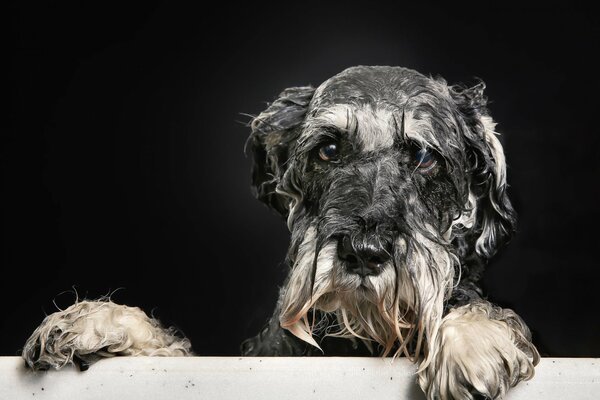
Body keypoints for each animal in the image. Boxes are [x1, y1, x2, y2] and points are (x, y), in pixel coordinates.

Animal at [22, 66, 540, 400]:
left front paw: (474, 341)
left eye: (423, 157)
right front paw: (94, 322)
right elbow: (172, 346)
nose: (364, 253)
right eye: (328, 149)